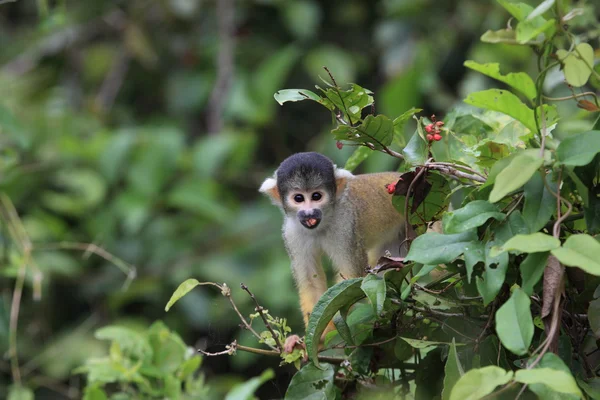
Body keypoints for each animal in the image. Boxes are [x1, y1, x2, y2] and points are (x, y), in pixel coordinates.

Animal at [258, 152, 404, 328]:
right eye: (299, 198)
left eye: (316, 196)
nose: (309, 213)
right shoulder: (291, 232)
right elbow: (310, 282)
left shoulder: (346, 224)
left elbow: (349, 279)